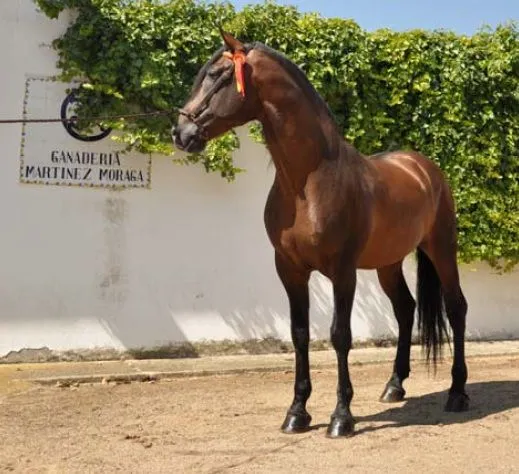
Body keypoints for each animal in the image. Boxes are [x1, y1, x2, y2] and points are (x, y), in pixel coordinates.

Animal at [173, 30, 470, 436]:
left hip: (442, 248)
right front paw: (297, 412)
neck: (308, 182)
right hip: (388, 263)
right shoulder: (290, 269)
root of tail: (424, 168)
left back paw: (457, 393)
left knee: (456, 307)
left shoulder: (342, 270)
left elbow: (339, 335)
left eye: (218, 76)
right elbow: (300, 335)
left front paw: (341, 416)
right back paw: (394, 386)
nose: (181, 132)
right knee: (406, 309)